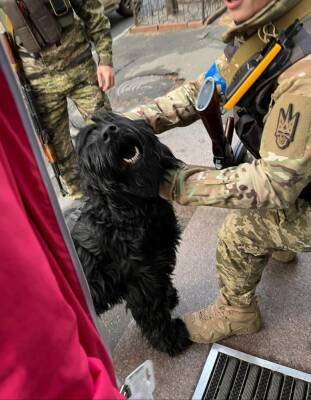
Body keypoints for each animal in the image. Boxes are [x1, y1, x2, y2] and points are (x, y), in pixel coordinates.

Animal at [71, 112, 191, 356]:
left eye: (109, 119)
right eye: (89, 139)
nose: (109, 132)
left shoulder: (158, 260)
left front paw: (169, 297)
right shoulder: (141, 277)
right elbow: (152, 312)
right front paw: (171, 339)